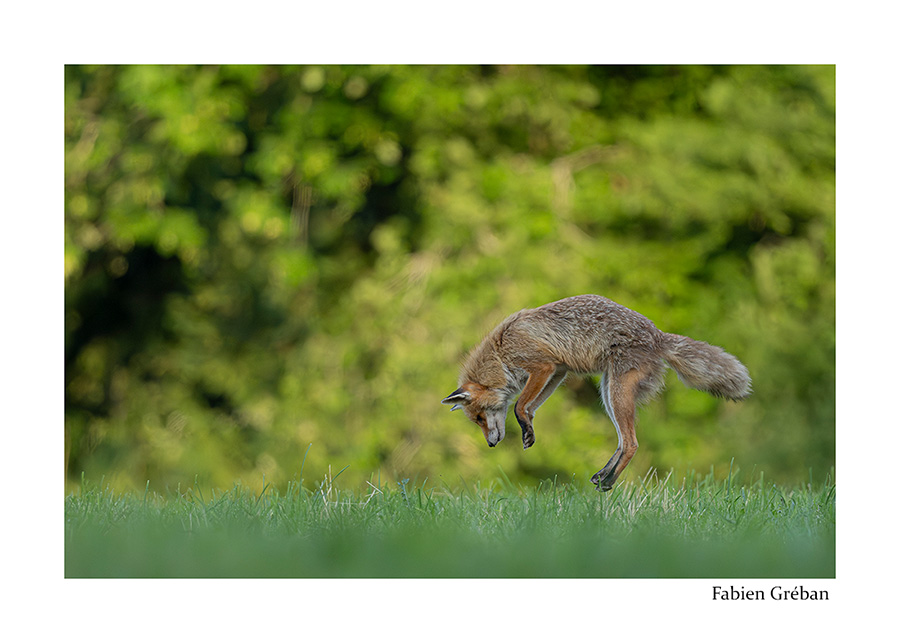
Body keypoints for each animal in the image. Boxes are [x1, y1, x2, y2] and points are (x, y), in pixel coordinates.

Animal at [441, 294, 751, 491]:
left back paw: (609, 482)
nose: (491, 445)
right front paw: (528, 429)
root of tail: (658, 335)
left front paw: (525, 430)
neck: (501, 352)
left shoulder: (542, 366)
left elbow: (518, 405)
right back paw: (603, 475)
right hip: (607, 392)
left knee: (632, 443)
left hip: (616, 392)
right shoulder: (558, 370)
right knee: (622, 441)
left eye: (479, 418)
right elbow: (529, 406)